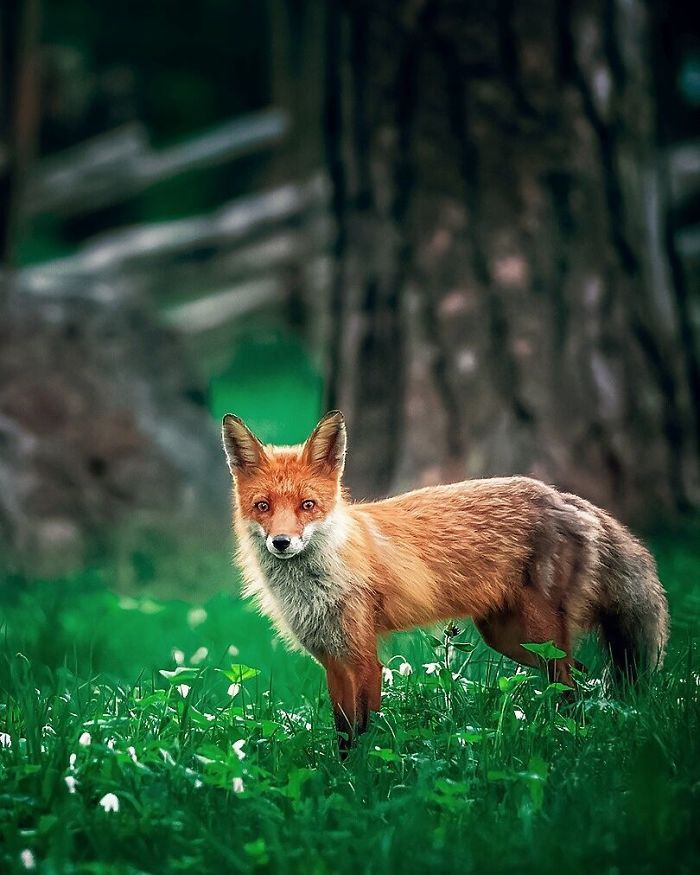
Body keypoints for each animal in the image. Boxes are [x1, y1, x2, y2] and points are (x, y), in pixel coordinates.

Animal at [222, 410, 669, 750]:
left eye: (307, 505)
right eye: (263, 506)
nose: (281, 542)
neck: (318, 582)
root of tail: (567, 498)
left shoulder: (364, 659)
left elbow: (363, 736)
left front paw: (363, 787)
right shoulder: (333, 661)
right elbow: (343, 735)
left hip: (538, 636)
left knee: (573, 685)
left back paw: (568, 737)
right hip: (511, 638)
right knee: (581, 677)